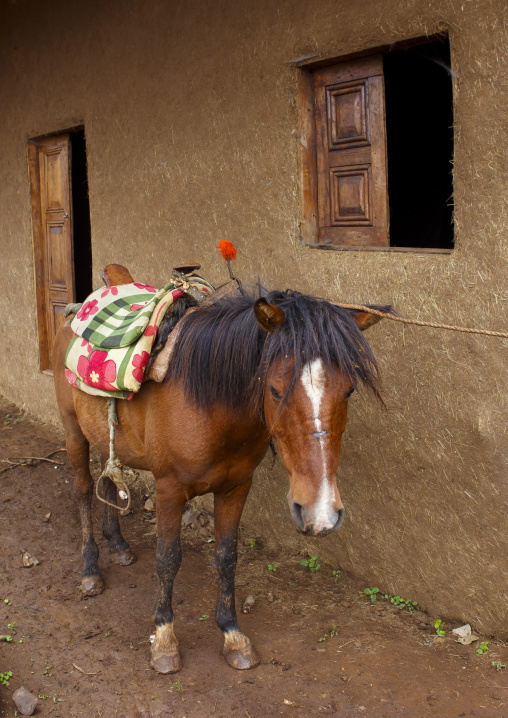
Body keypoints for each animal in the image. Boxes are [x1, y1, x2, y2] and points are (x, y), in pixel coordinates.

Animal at [52, 283, 389, 674]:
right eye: (275, 390)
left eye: (348, 391)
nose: (320, 513)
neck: (209, 403)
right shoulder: (169, 489)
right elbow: (167, 559)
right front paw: (164, 640)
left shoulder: (236, 487)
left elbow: (227, 557)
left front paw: (232, 634)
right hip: (73, 433)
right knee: (83, 491)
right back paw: (91, 569)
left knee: (108, 482)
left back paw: (118, 545)